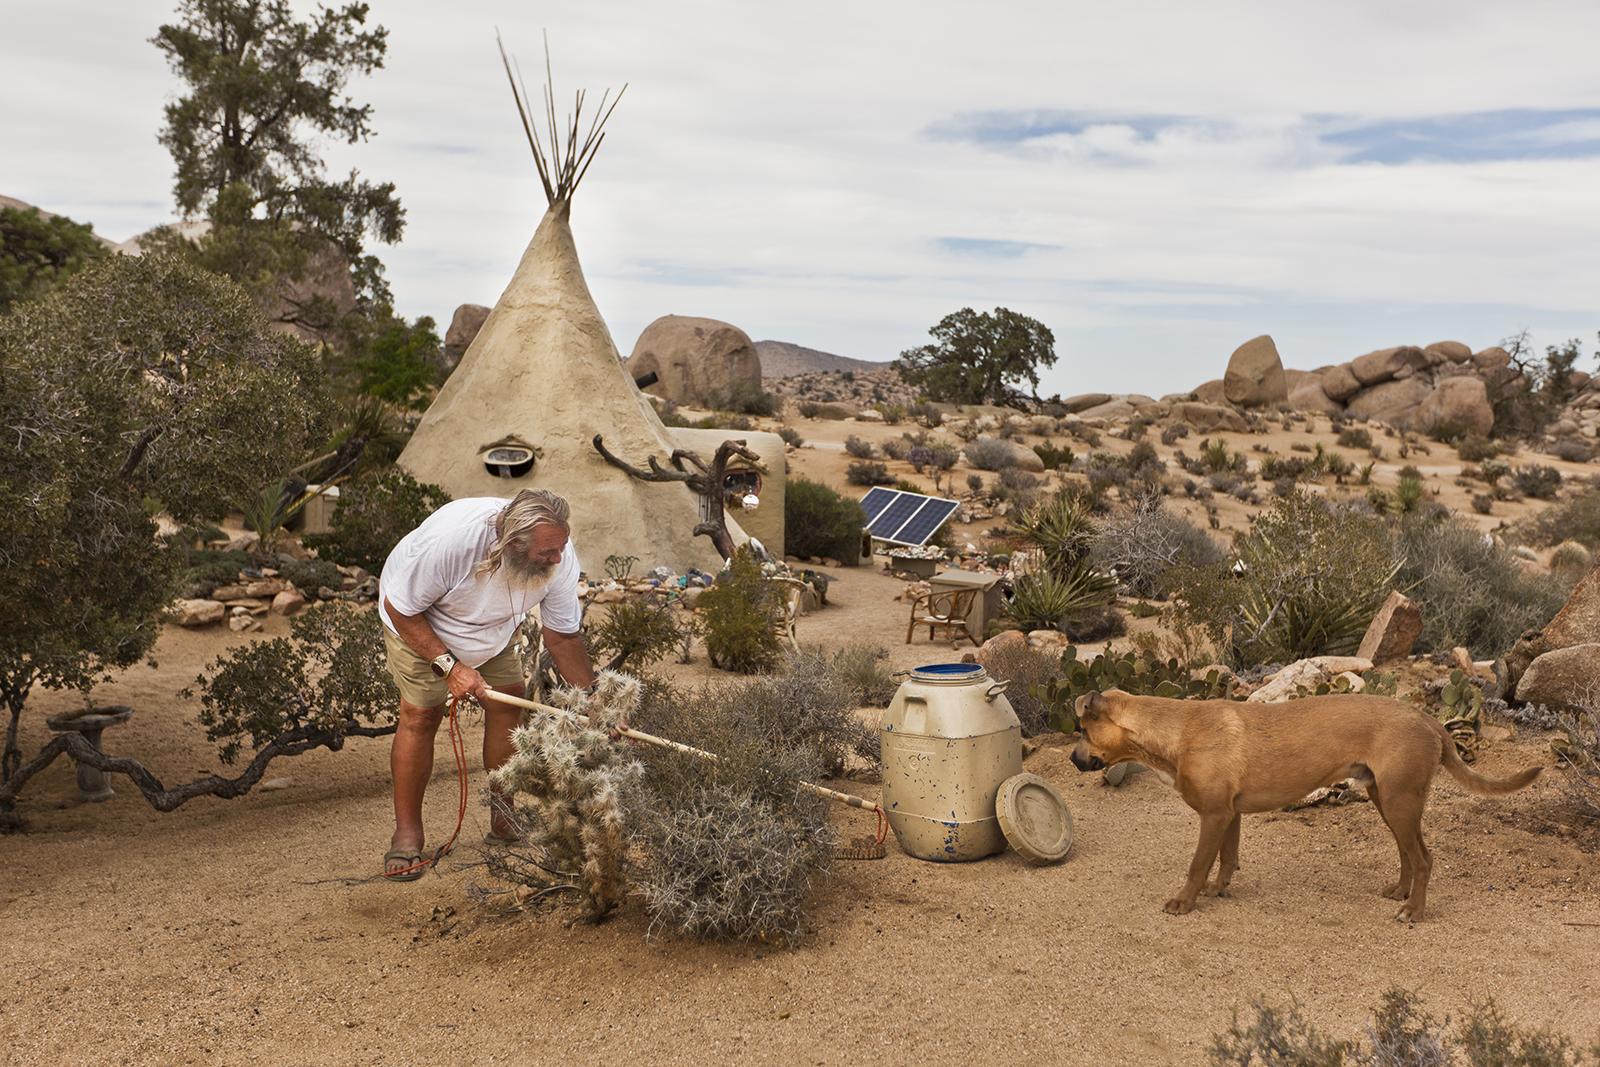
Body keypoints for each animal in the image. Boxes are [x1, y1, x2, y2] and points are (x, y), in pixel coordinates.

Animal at [1068, 687, 1542, 921]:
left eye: (1084, 731)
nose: (1073, 760)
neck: (1176, 731)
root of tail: (1426, 717)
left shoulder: (1215, 815)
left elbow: (1197, 864)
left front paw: (1185, 902)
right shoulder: (1229, 815)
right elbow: (1226, 858)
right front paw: (1218, 889)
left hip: (1400, 802)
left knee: (1424, 858)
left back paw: (1414, 911)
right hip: (1388, 800)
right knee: (1409, 855)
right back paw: (1400, 892)